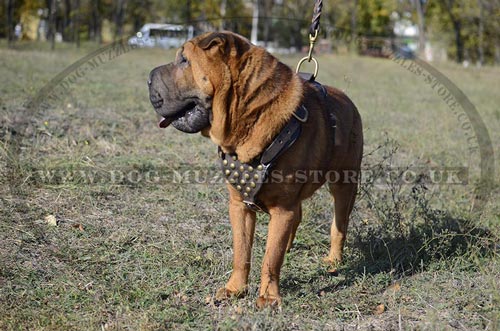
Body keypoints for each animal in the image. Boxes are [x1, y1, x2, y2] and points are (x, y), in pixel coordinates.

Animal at [148, 31, 364, 308]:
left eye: (184, 60)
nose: (148, 77)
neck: (247, 115)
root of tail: (348, 100)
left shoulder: (282, 208)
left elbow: (270, 258)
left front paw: (269, 297)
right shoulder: (239, 206)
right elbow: (242, 253)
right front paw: (235, 290)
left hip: (344, 185)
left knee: (339, 225)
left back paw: (333, 259)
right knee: (298, 218)